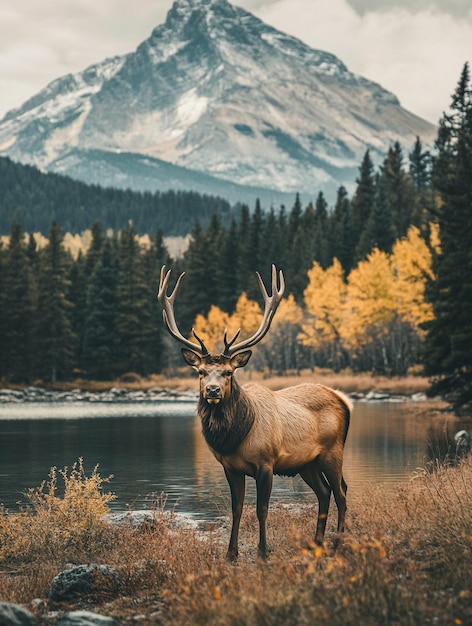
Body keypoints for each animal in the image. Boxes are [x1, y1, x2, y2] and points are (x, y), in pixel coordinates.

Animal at [158, 264, 350, 560]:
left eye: (228, 372)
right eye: (201, 372)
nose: (212, 390)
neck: (236, 436)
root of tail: (343, 399)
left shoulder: (266, 463)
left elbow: (261, 509)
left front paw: (263, 552)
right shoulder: (230, 467)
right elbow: (236, 509)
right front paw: (230, 553)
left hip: (333, 451)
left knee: (341, 491)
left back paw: (337, 543)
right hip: (307, 463)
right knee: (324, 492)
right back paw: (317, 542)